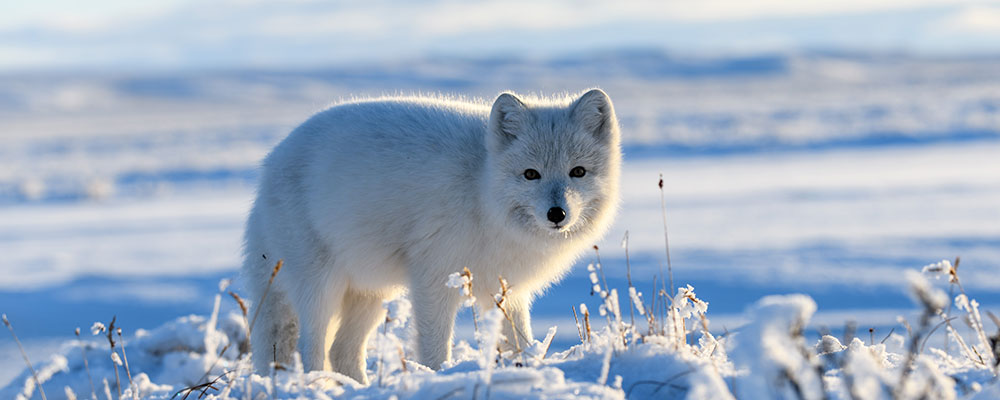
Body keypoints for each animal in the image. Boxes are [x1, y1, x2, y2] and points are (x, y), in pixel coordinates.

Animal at [241, 89, 622, 384]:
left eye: (577, 172)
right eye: (531, 174)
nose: (557, 214)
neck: (481, 191)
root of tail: (270, 164)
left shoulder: (507, 290)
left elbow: (521, 343)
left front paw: (529, 370)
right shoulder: (434, 279)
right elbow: (436, 347)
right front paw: (438, 377)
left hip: (370, 293)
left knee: (342, 352)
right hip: (321, 287)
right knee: (310, 351)